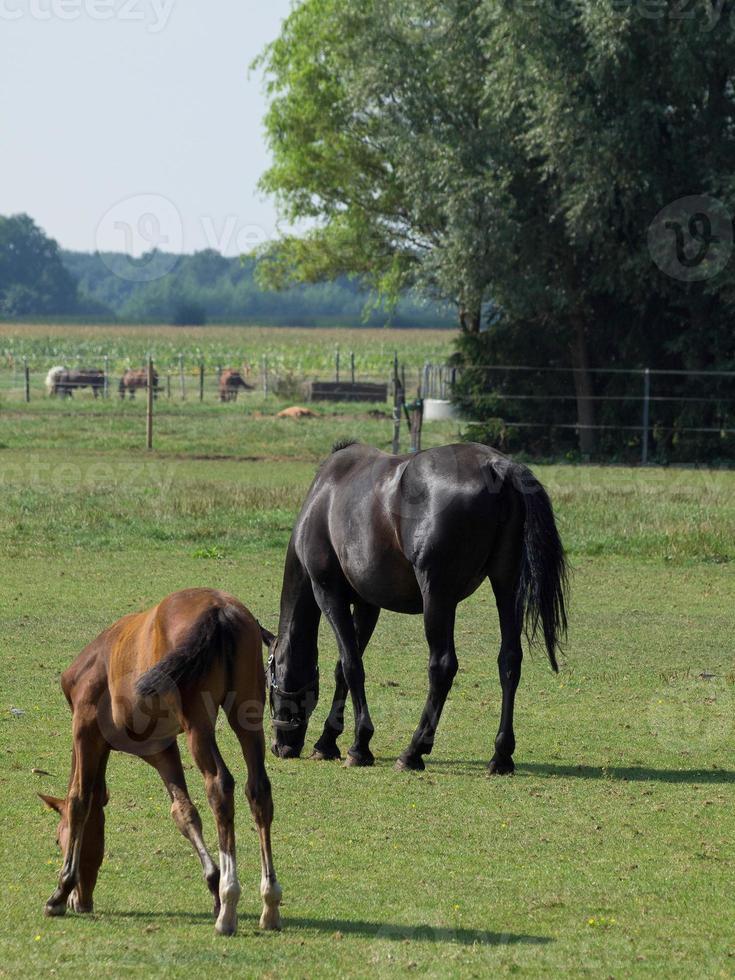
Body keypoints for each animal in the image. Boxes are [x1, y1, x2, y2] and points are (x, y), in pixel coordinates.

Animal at [41, 588, 282, 936]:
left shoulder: (85, 728)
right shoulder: (162, 748)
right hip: (247, 717)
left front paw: (60, 891)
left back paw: (229, 905)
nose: (81, 901)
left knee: (220, 786)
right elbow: (184, 812)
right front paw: (213, 884)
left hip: (198, 724)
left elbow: (79, 801)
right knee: (258, 790)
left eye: (59, 839)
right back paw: (269, 903)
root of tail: (218, 609)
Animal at [264, 442, 568, 772]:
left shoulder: (329, 594)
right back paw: (501, 755)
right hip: (505, 584)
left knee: (442, 666)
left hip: (437, 597)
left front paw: (359, 745)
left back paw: (414, 750)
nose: (280, 746)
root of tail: (496, 466)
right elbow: (344, 669)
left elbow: (351, 665)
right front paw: (328, 740)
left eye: (269, 681)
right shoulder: (368, 606)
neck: (323, 498)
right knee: (509, 660)